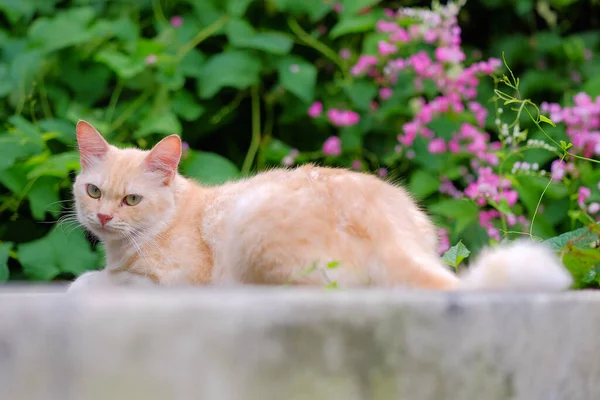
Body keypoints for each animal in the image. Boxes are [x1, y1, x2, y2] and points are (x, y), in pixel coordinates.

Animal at [65, 120, 572, 292]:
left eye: (132, 199)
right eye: (93, 192)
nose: (103, 217)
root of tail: (385, 227)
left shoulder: (177, 278)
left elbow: (105, 280)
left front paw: (87, 281)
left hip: (251, 233)